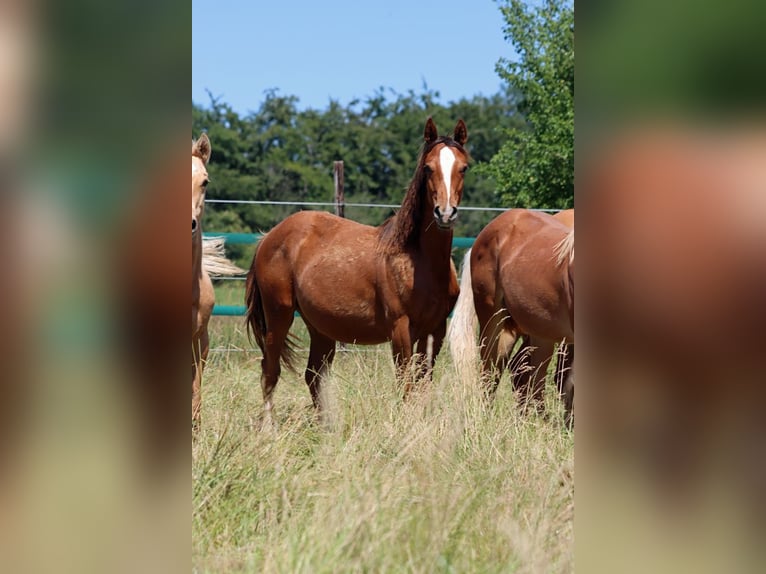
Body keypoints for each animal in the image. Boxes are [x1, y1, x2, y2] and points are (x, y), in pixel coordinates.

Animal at [245, 117, 469, 426]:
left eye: (464, 167)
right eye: (428, 167)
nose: (445, 214)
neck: (417, 261)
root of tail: (269, 237)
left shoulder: (435, 330)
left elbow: (423, 382)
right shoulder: (401, 330)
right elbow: (405, 384)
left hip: (320, 327)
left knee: (313, 375)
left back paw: (326, 428)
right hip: (279, 316)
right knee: (270, 370)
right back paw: (270, 428)